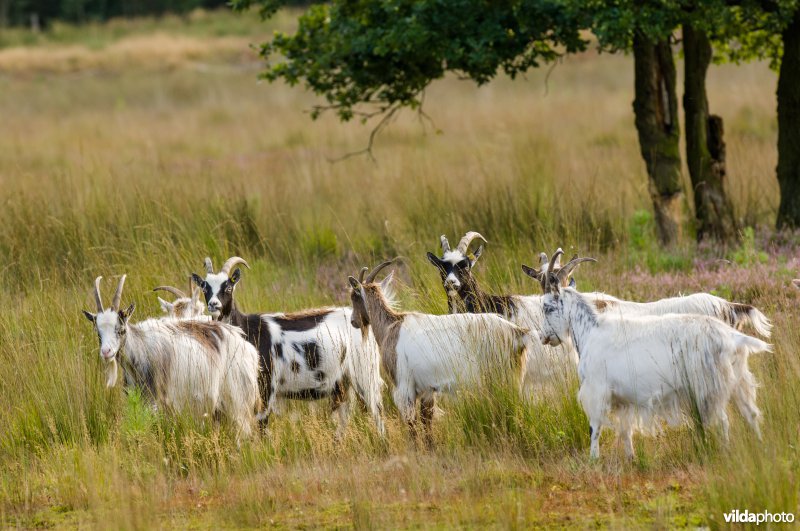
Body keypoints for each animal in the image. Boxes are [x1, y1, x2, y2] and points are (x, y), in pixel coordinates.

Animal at [81, 274, 258, 440]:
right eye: (98, 333)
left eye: (121, 330)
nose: (106, 352)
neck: (140, 348)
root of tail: (245, 345)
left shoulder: (159, 402)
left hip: (237, 400)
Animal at [191, 256, 384, 438]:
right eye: (205, 288)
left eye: (228, 287)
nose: (214, 305)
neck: (246, 329)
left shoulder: (266, 385)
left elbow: (261, 425)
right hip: (342, 382)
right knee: (345, 415)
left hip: (365, 373)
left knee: (376, 409)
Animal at [348, 260, 532, 446]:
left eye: (354, 296)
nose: (353, 321)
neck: (390, 326)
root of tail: (517, 332)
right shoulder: (427, 388)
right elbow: (426, 420)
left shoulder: (403, 385)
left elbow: (411, 423)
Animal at [536, 256, 772, 460]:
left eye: (547, 307)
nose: (543, 337)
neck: (592, 330)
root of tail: (732, 337)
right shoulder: (623, 399)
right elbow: (625, 430)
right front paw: (631, 458)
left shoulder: (597, 390)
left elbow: (594, 427)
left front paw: (593, 460)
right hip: (737, 381)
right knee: (751, 414)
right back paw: (760, 449)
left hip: (707, 386)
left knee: (723, 421)